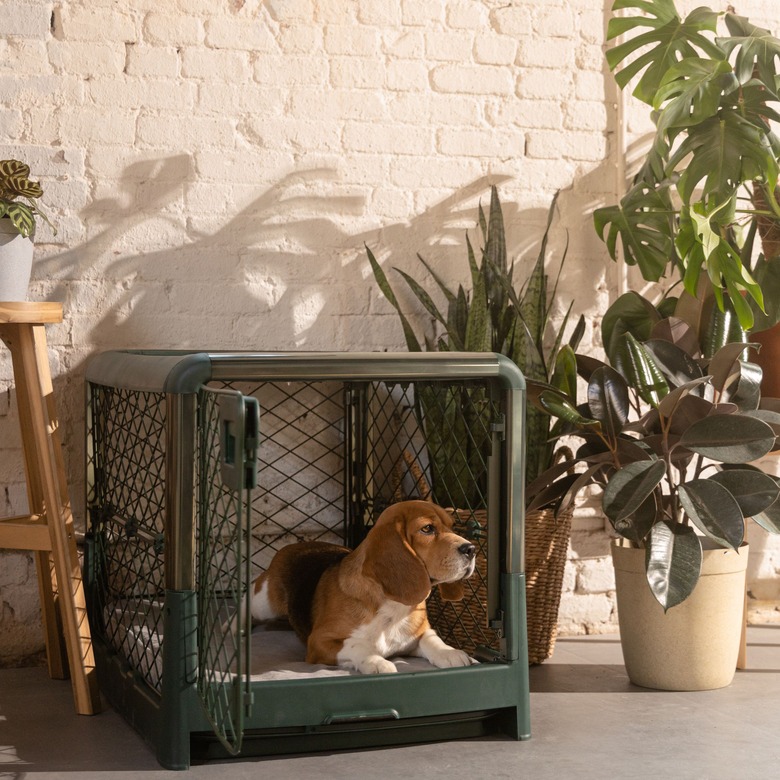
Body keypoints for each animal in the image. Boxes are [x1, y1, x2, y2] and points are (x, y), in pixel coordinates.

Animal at [245, 502, 476, 672]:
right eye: (427, 528)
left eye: (452, 526)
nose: (471, 549)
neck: (393, 608)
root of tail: (293, 545)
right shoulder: (319, 642)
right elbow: (358, 645)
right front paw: (377, 661)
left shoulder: (418, 635)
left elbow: (431, 638)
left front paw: (449, 652)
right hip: (264, 602)